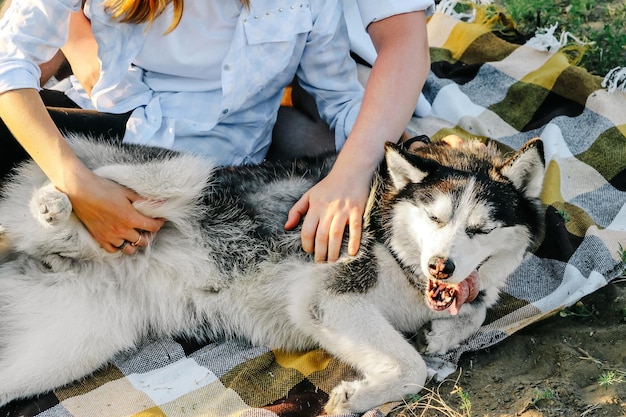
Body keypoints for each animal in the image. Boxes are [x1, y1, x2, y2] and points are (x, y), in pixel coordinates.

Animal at [0, 136, 540, 412]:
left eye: (480, 228)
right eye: (434, 218)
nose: (439, 266)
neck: (391, 233)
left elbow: (473, 310)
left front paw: (447, 333)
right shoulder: (328, 297)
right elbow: (411, 368)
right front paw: (357, 397)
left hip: (68, 347)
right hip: (186, 174)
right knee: (92, 182)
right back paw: (53, 205)